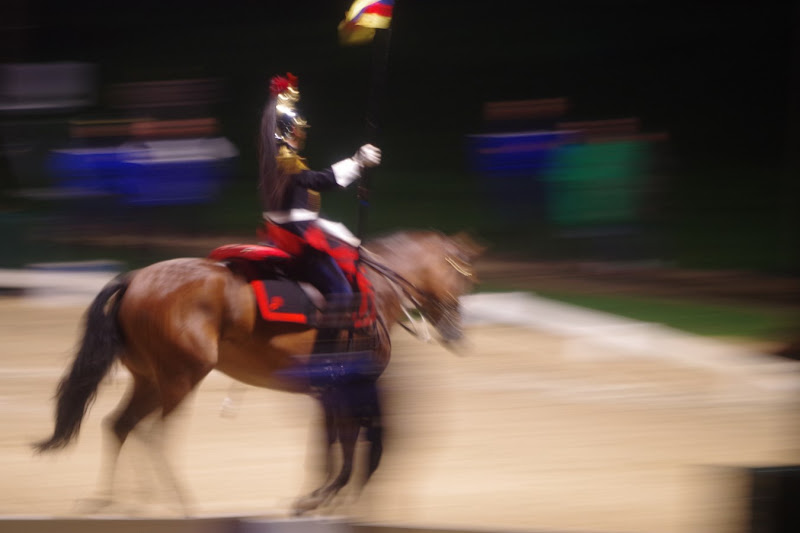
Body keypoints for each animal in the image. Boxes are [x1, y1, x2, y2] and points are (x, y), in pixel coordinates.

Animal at [32, 230, 482, 516]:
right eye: (462, 280)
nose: (457, 334)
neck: (370, 291)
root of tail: (136, 278)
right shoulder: (348, 385)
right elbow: (347, 443)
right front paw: (323, 497)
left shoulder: (331, 390)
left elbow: (330, 443)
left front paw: (317, 498)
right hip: (180, 377)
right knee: (154, 435)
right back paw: (180, 503)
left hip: (149, 379)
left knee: (120, 426)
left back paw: (113, 501)